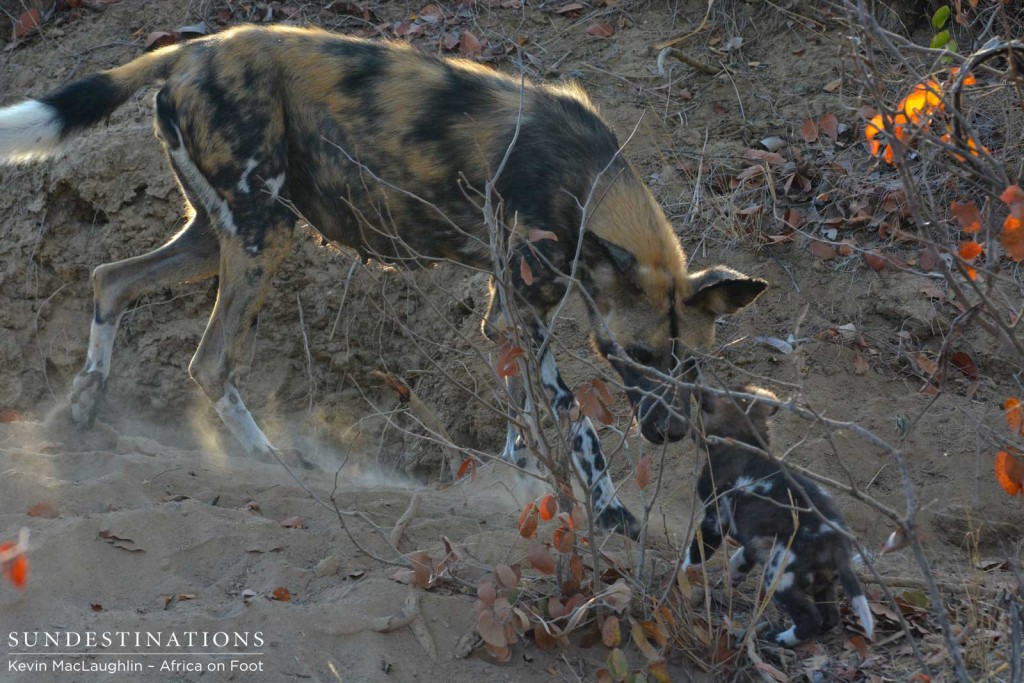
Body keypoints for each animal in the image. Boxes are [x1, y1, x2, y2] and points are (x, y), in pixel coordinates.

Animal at [0, 25, 765, 540]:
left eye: (691, 364)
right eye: (634, 356)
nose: (669, 431)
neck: (587, 186)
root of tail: (196, 46)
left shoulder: (514, 315)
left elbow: (524, 419)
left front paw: (523, 487)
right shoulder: (525, 313)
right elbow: (576, 420)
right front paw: (607, 511)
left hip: (217, 236)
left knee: (110, 280)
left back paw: (85, 406)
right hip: (264, 234)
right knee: (210, 361)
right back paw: (271, 461)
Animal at [679, 385, 872, 647]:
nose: (690, 433)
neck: (742, 441)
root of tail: (836, 542)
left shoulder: (715, 520)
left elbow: (695, 555)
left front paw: (682, 577)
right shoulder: (757, 539)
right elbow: (743, 556)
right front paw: (734, 573)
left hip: (779, 577)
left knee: (810, 618)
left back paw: (779, 638)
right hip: (823, 583)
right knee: (830, 617)